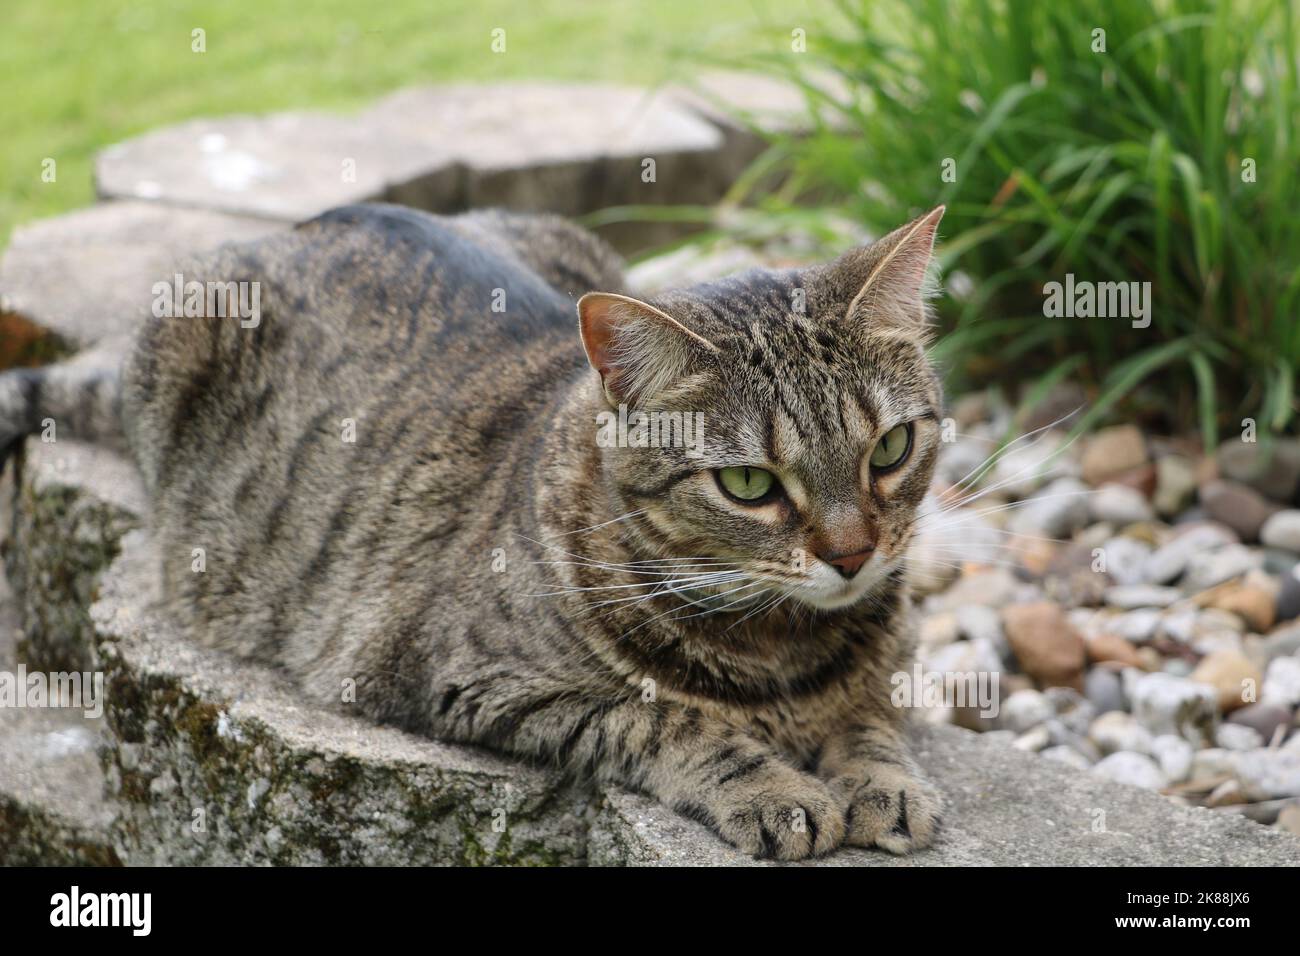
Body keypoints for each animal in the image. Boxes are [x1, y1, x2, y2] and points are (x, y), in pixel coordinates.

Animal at [5, 204, 951, 858]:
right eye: (750, 485)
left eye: (890, 449)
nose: (852, 554)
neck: (783, 651)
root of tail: (302, 224)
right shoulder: (461, 676)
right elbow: (664, 721)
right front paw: (772, 788)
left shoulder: (895, 647)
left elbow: (871, 708)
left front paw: (881, 777)